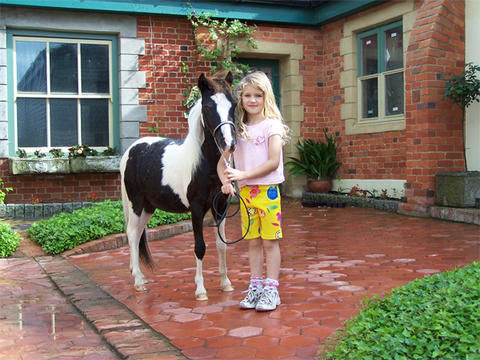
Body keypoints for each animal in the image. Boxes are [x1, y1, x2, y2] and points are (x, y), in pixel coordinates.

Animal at [121, 71, 237, 300]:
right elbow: (200, 247)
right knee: (131, 233)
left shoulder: (220, 208)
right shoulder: (197, 208)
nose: (229, 144)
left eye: (234, 104)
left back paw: (137, 275)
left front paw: (226, 283)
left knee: (137, 234)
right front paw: (200, 290)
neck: (205, 165)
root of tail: (131, 149)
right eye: (208, 107)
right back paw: (138, 281)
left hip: (148, 207)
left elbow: (221, 245)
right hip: (135, 204)